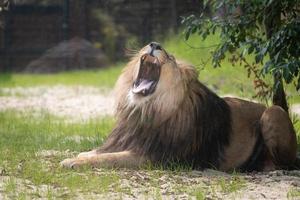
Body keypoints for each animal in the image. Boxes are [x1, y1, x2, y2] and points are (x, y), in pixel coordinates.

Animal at [61, 41, 298, 171]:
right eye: (150, 45)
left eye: (171, 57)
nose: (155, 45)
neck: (146, 111)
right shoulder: (128, 138)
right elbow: (97, 151)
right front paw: (80, 155)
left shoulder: (155, 157)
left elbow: (110, 158)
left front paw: (71, 162)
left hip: (273, 112)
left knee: (287, 162)